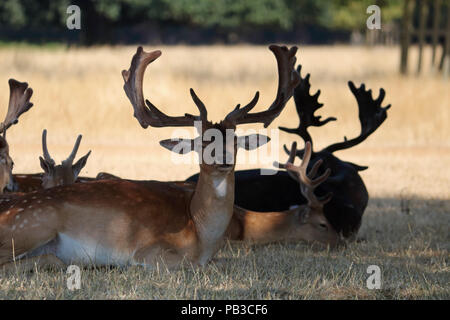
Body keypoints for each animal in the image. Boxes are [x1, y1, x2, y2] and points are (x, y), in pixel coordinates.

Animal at [0, 43, 302, 272]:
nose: (224, 160)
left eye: (235, 142)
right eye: (203, 142)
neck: (201, 231)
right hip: (33, 225)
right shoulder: (149, 250)